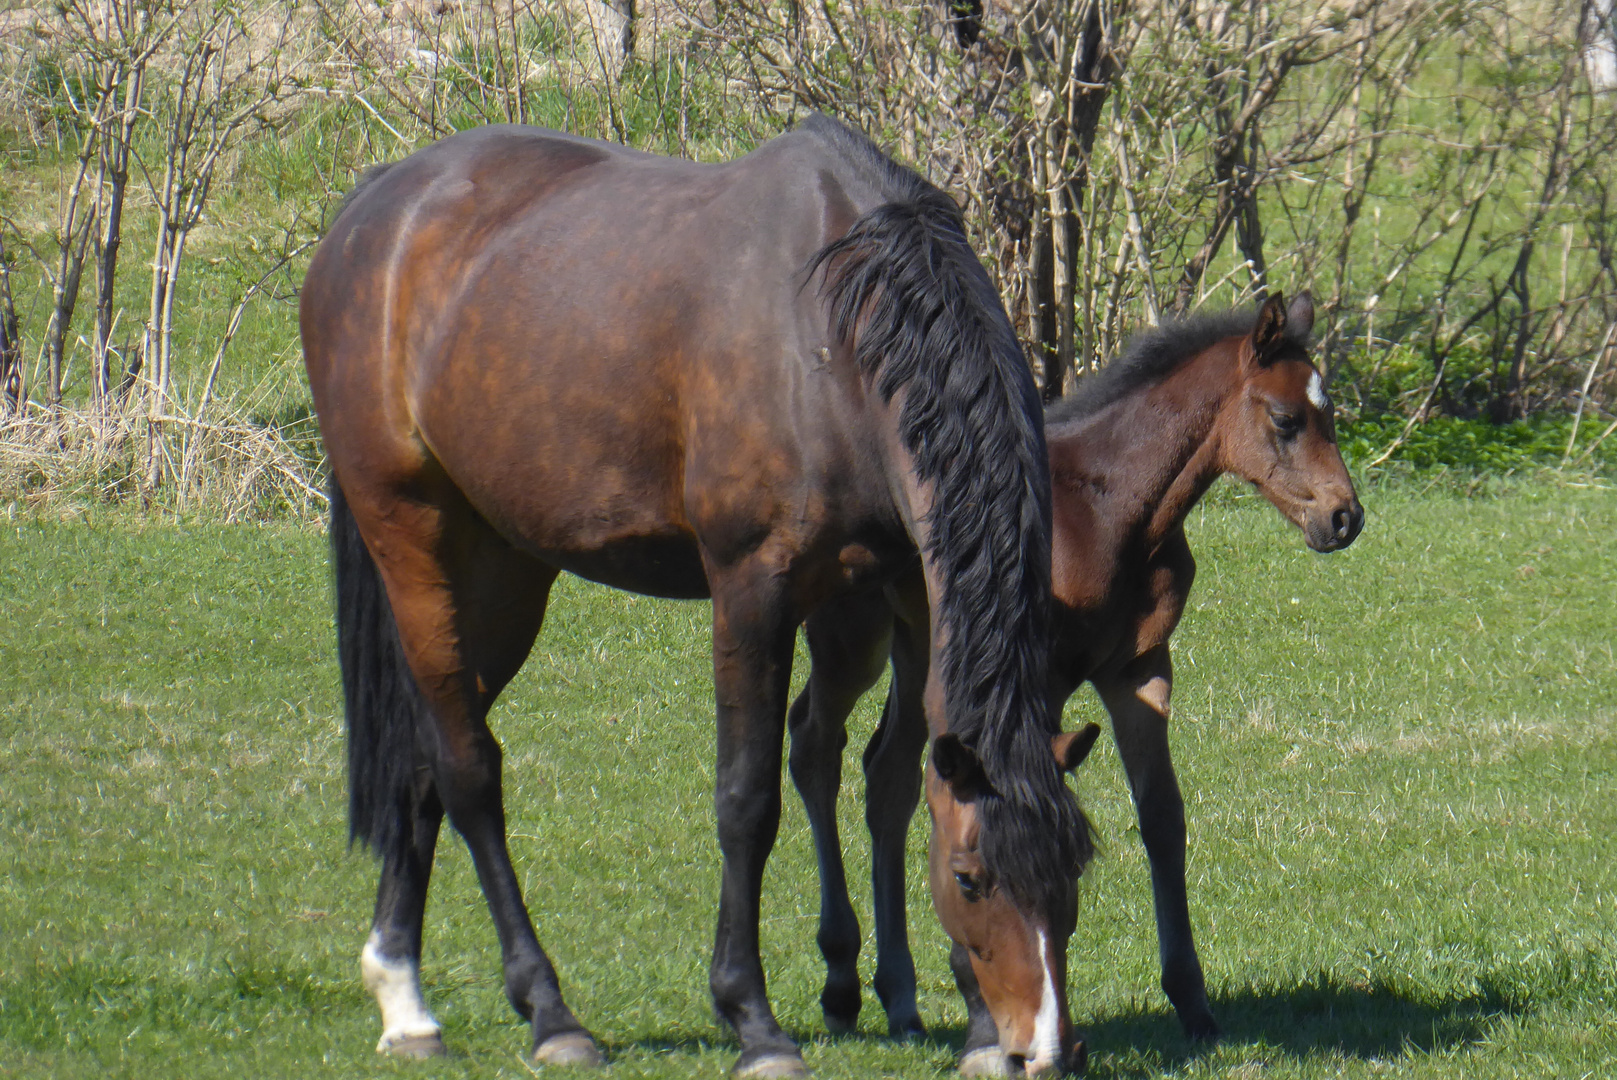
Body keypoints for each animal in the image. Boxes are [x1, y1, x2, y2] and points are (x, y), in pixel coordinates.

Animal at [299, 113, 1093, 1073]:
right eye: (972, 879)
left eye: (1073, 873)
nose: (1042, 1047)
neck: (834, 338)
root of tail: (374, 210)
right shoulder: (752, 591)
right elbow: (745, 801)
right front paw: (750, 1017)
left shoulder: (912, 589)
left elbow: (904, 774)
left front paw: (972, 1025)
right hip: (412, 540)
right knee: (467, 771)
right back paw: (547, 1011)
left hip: (502, 573)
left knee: (425, 757)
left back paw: (403, 995)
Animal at [785, 289, 1364, 1073]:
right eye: (1285, 419)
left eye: (1328, 412)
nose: (1344, 517)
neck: (1106, 507)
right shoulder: (1042, 679)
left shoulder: (1140, 670)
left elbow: (1162, 817)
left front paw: (1193, 1002)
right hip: (854, 638)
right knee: (815, 745)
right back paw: (843, 981)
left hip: (916, 649)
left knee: (889, 775)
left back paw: (900, 998)